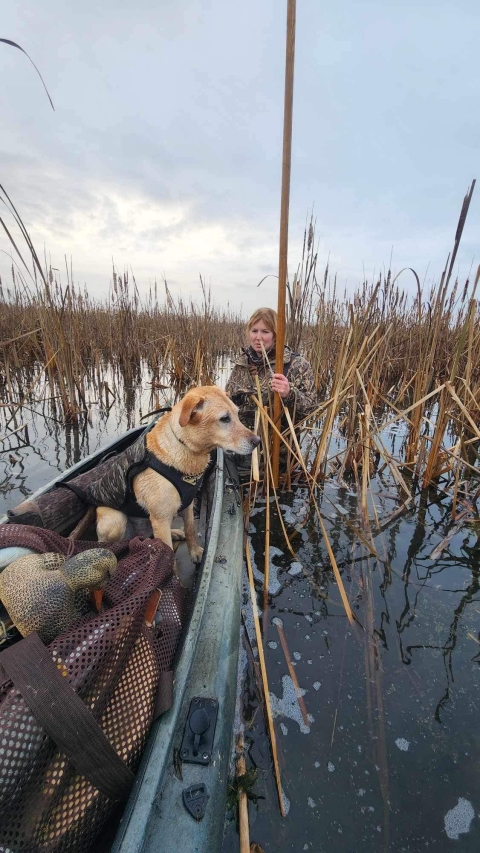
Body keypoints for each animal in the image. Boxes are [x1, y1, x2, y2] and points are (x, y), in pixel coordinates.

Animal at [94, 382, 258, 564]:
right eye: (224, 418)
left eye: (237, 413)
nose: (257, 441)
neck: (184, 446)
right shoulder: (160, 518)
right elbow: (168, 556)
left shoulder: (187, 504)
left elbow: (190, 529)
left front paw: (194, 551)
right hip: (116, 520)